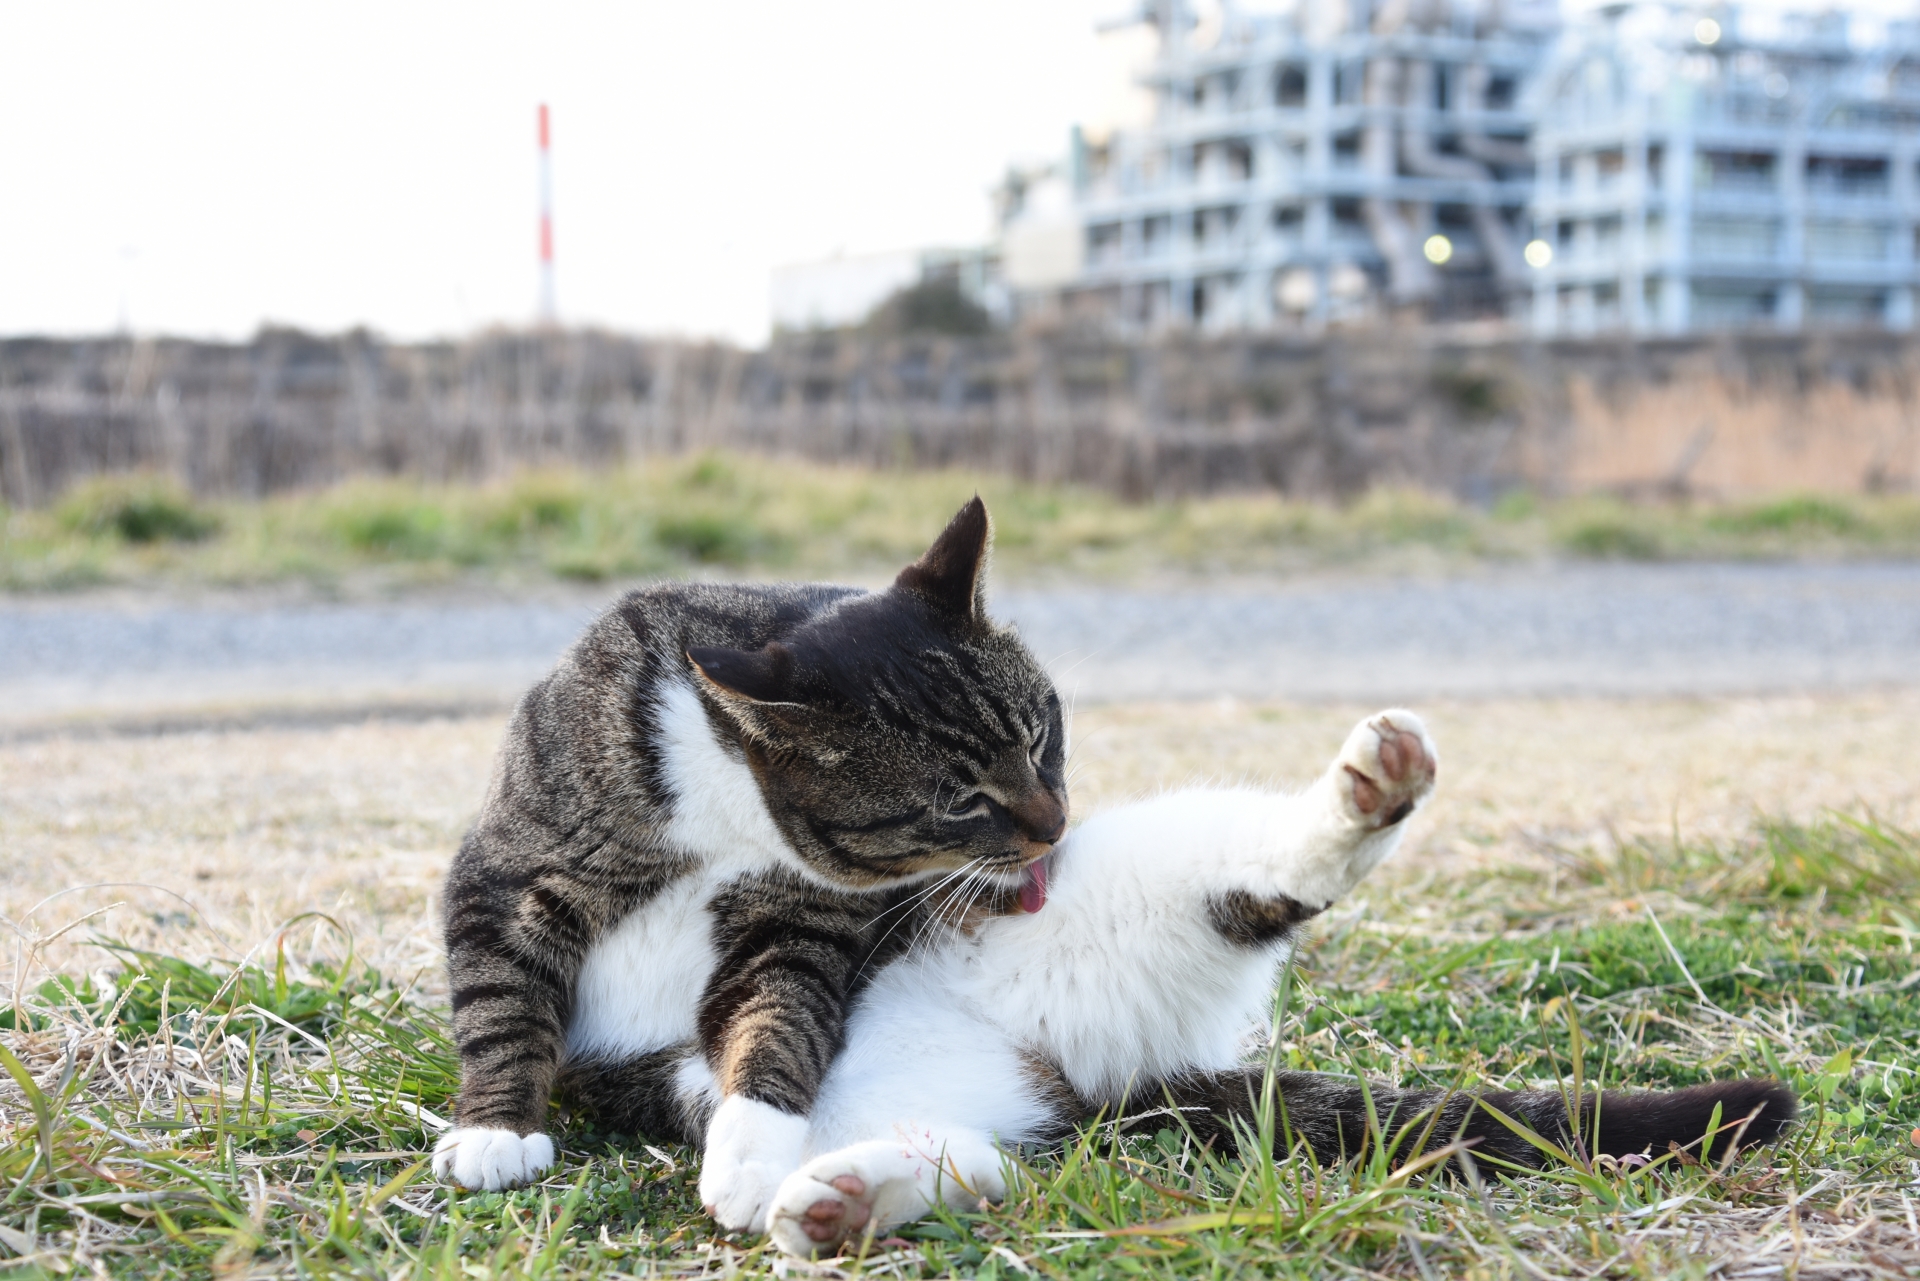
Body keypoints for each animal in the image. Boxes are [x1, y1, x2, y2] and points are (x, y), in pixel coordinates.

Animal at [428, 499, 1075, 1229]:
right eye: (963, 801)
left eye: (1039, 738)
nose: (1055, 827)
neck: (727, 781)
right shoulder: (507, 873)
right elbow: (502, 1006)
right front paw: (495, 1130)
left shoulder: (798, 917)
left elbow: (776, 1019)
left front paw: (750, 1160)